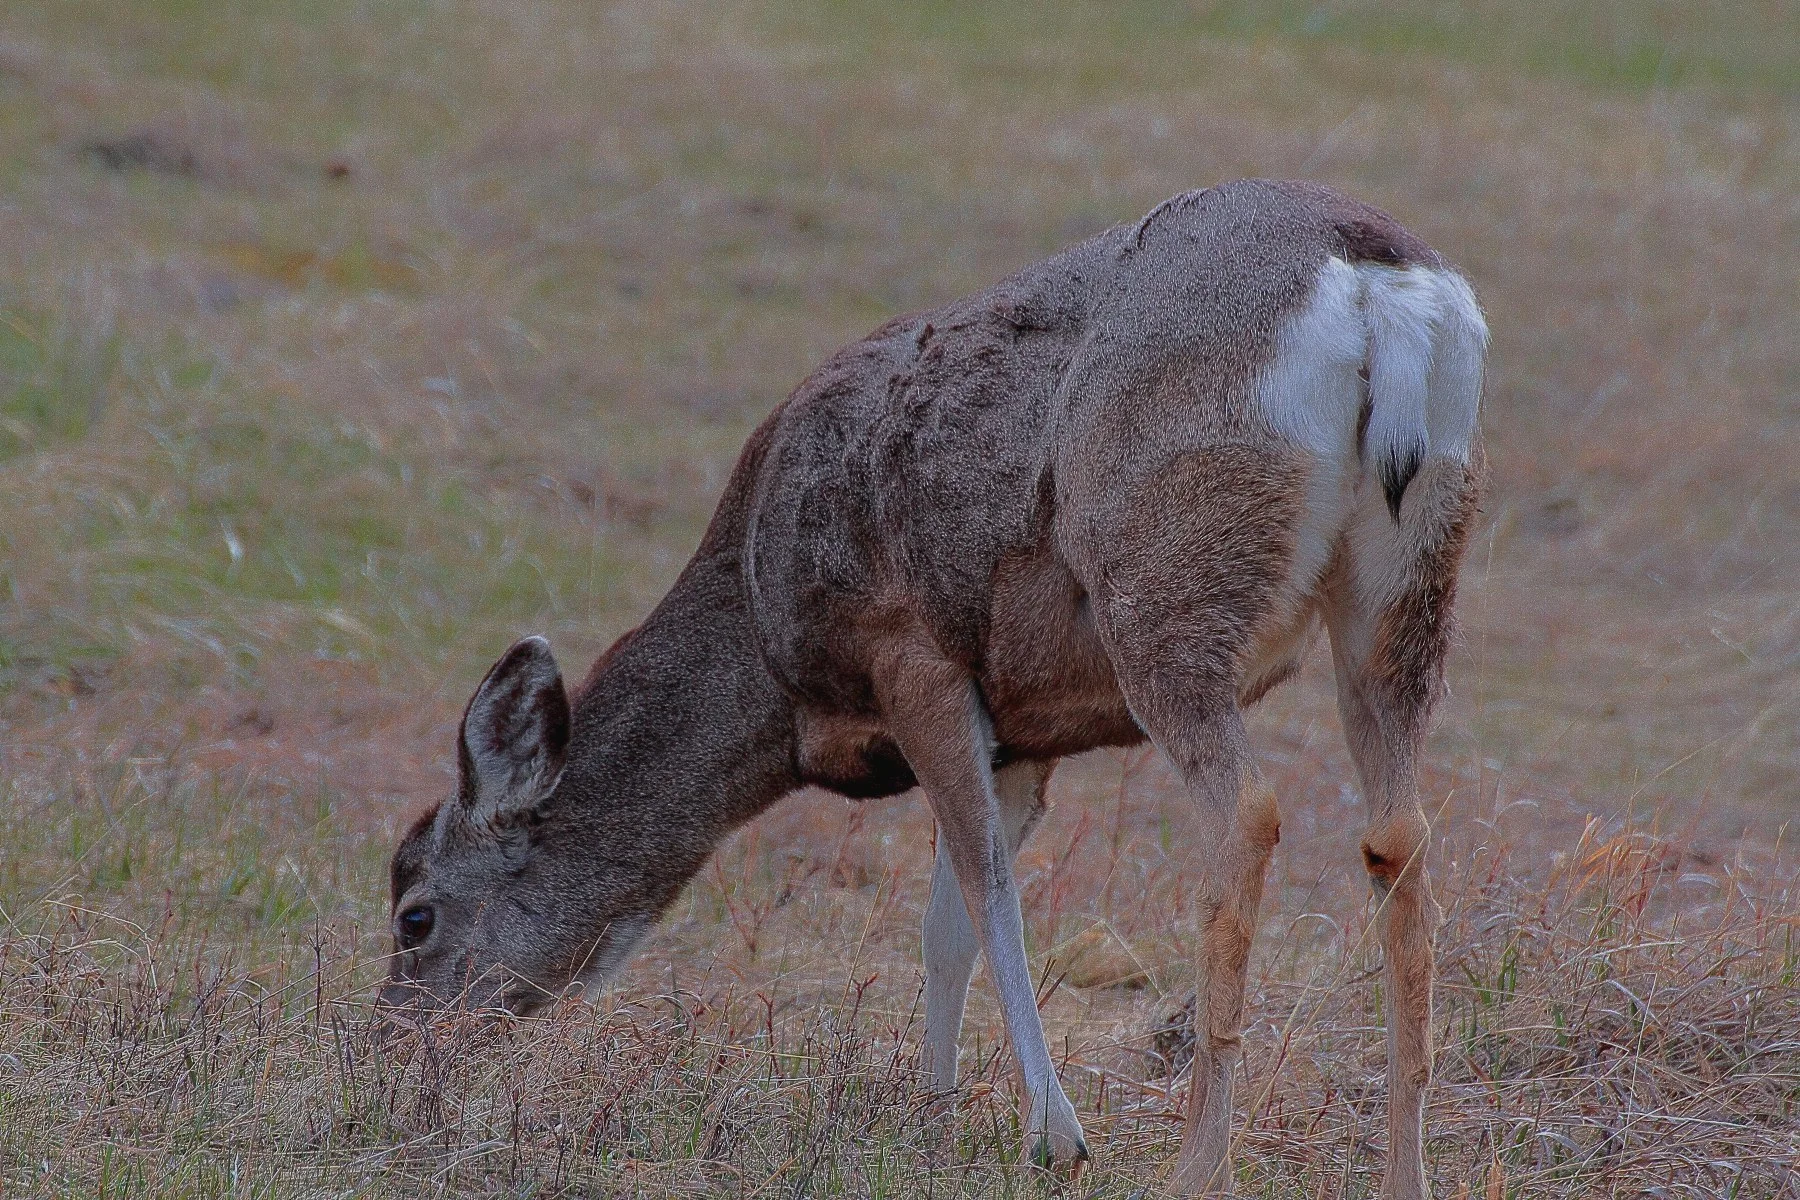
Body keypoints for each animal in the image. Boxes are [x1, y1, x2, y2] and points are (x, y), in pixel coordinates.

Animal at [379, 178, 1487, 1198]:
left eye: (414, 915)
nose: (396, 1059)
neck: (766, 648)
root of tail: (1377, 284)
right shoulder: (1026, 733)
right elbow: (947, 923)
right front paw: (933, 1125)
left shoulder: (911, 650)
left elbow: (984, 893)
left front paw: (1049, 1135)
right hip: (1408, 586)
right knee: (1400, 836)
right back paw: (1406, 1173)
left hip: (1169, 584)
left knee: (1247, 814)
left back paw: (1196, 1167)